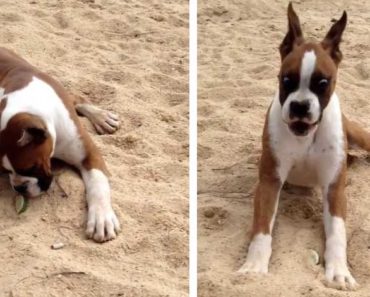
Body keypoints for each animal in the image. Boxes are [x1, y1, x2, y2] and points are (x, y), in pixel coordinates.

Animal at [237, 2, 370, 290]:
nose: (299, 105)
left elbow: (337, 234)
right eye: (286, 80)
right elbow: (261, 229)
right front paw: (254, 267)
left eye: (322, 83)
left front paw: (339, 272)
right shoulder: (269, 183)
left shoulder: (334, 190)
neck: (305, 138)